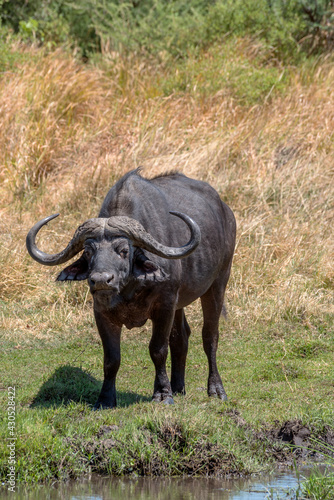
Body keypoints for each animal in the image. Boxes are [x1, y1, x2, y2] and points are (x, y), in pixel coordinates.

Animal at [26, 170, 236, 408]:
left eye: (124, 250)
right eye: (88, 251)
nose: (101, 280)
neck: (130, 288)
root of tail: (226, 211)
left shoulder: (165, 305)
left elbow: (158, 349)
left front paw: (162, 394)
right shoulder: (102, 313)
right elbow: (111, 358)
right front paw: (106, 398)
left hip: (218, 283)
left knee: (210, 337)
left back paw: (216, 390)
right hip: (180, 302)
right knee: (181, 337)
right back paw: (178, 387)